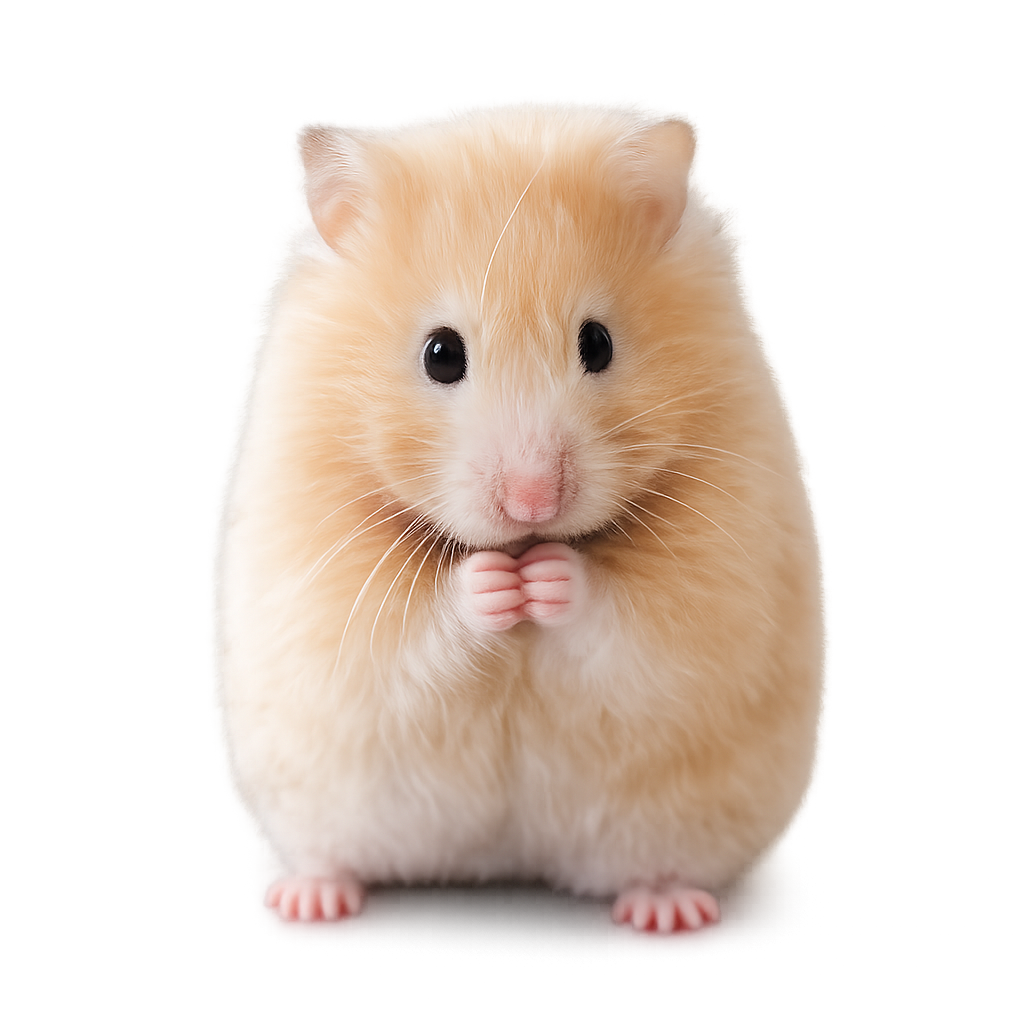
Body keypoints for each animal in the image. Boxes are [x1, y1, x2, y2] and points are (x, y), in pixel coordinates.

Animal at [221, 110, 815, 936]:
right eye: (441, 353)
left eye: (597, 342)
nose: (534, 504)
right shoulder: (320, 577)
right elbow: (406, 629)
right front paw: (498, 584)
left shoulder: (716, 572)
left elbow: (634, 621)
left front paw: (547, 579)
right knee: (329, 854)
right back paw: (310, 902)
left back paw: (666, 914)